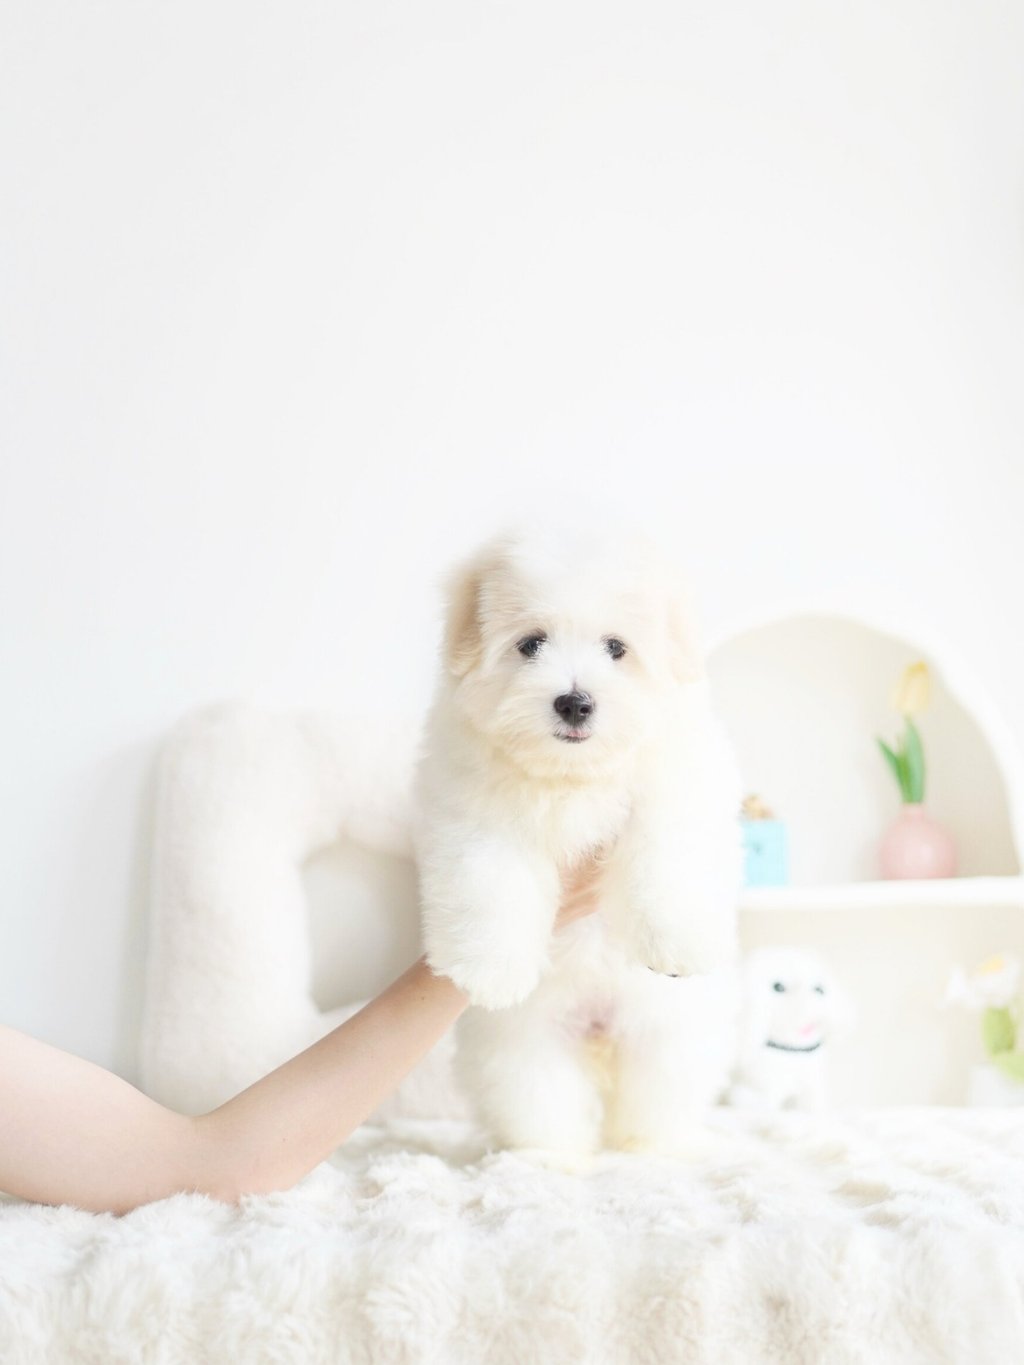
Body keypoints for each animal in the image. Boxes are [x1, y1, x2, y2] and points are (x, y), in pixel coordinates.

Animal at [412, 524, 742, 1154]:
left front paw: (675, 941)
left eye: (616, 648)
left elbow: (666, 851)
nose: (574, 701)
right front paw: (489, 968)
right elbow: (488, 881)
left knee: (657, 1095)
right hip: (520, 1045)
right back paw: (551, 1156)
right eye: (531, 644)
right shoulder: (476, 815)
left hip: (668, 1038)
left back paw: (652, 1147)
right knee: (535, 1097)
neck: (574, 777)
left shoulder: (675, 786)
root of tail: (596, 1025)